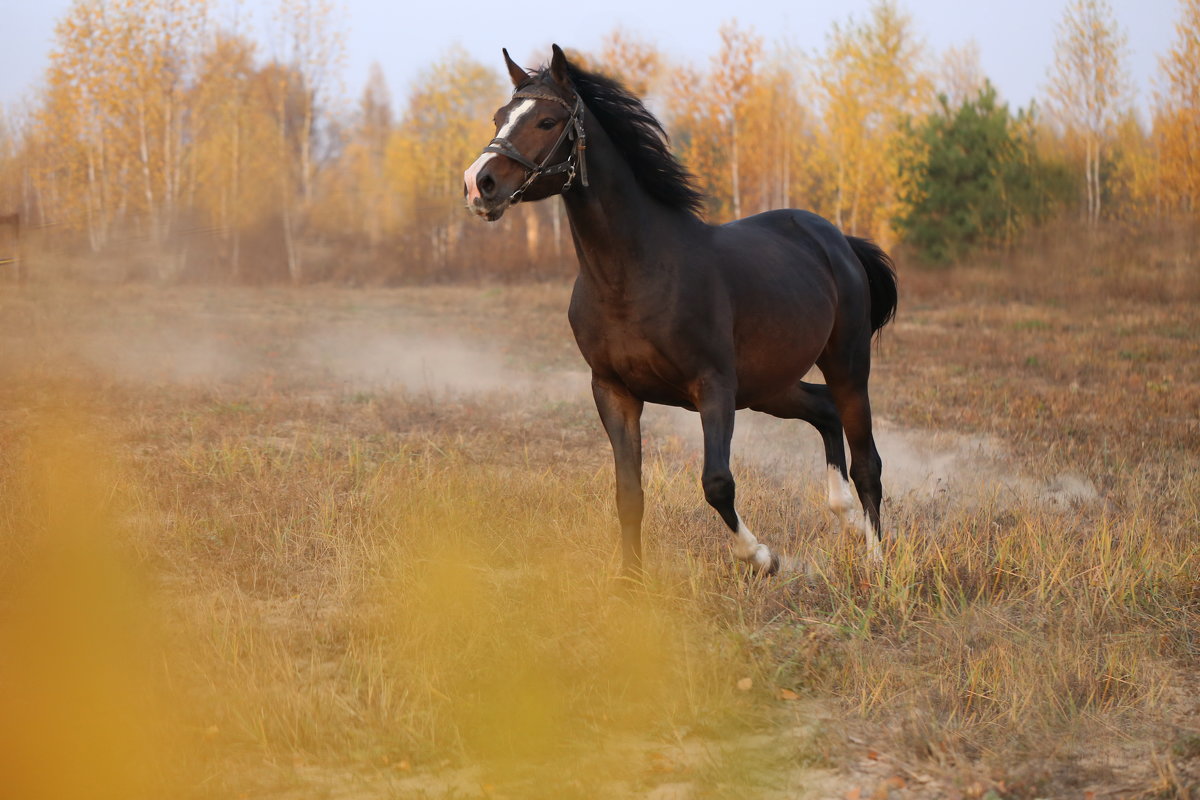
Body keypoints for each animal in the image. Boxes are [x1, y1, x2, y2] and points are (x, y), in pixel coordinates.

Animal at [463, 47, 897, 578]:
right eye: (499, 117)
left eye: (547, 121)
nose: (478, 184)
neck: (632, 277)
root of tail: (838, 240)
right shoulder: (614, 391)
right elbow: (629, 492)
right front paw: (630, 583)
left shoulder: (713, 387)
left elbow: (717, 483)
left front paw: (765, 557)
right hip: (768, 386)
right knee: (824, 410)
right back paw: (846, 518)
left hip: (846, 365)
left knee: (867, 460)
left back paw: (876, 561)